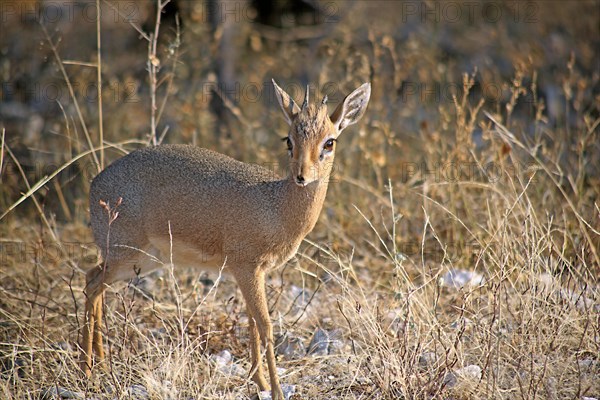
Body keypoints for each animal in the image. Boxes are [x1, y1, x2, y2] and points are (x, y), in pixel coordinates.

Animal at [79, 79, 370, 398]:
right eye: (289, 140)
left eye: (329, 142)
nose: (302, 176)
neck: (277, 206)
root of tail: (94, 183)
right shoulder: (246, 268)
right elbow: (266, 326)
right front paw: (276, 389)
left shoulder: (254, 272)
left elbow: (253, 323)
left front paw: (260, 382)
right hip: (126, 253)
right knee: (91, 283)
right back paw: (87, 370)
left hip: (142, 260)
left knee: (95, 283)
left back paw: (100, 363)